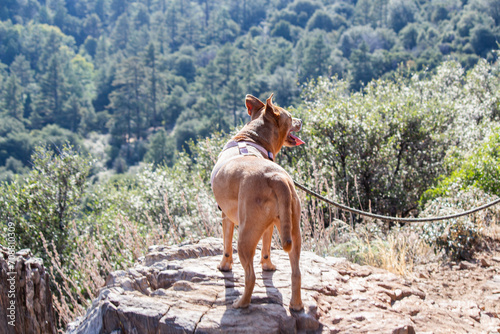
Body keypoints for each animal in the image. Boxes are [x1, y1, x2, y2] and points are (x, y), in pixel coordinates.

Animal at [211, 92, 304, 310]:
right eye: (291, 116)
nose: (301, 121)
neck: (251, 137)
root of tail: (277, 178)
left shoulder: (226, 216)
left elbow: (226, 247)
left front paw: (224, 266)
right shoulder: (269, 226)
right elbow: (267, 249)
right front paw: (268, 266)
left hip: (245, 236)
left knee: (250, 277)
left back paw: (241, 303)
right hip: (293, 231)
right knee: (296, 272)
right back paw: (296, 305)